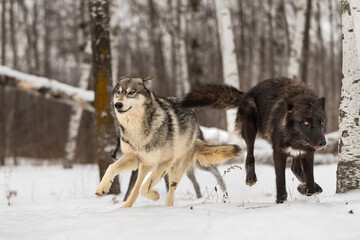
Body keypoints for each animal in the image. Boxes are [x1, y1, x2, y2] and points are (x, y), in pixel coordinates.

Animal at [95, 76, 239, 206]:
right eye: (118, 92)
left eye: (131, 93)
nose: (117, 104)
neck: (137, 129)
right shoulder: (133, 159)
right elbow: (111, 167)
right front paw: (102, 188)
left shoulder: (165, 162)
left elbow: (145, 188)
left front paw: (155, 195)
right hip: (145, 166)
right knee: (135, 189)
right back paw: (125, 207)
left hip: (179, 167)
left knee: (171, 189)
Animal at [183, 78, 326, 203]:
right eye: (306, 123)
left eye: (322, 123)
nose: (323, 143)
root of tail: (246, 93)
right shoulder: (278, 152)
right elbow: (280, 181)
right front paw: (281, 201)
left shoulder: (308, 152)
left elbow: (310, 184)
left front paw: (305, 188)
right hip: (250, 129)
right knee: (249, 155)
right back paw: (250, 177)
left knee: (295, 168)